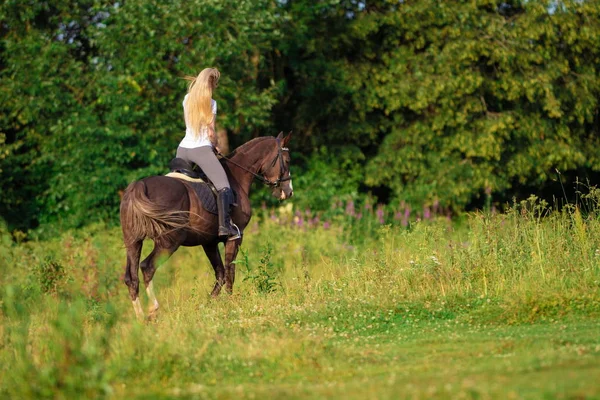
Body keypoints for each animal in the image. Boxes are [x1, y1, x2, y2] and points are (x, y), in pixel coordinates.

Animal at [119, 133, 292, 320]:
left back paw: (140, 318)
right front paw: (230, 303)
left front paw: (208, 304)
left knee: (131, 277)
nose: (288, 191)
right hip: (169, 242)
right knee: (147, 267)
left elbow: (220, 273)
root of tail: (139, 185)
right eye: (287, 160)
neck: (237, 177)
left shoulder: (208, 242)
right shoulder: (235, 237)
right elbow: (230, 271)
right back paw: (153, 308)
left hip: (133, 242)